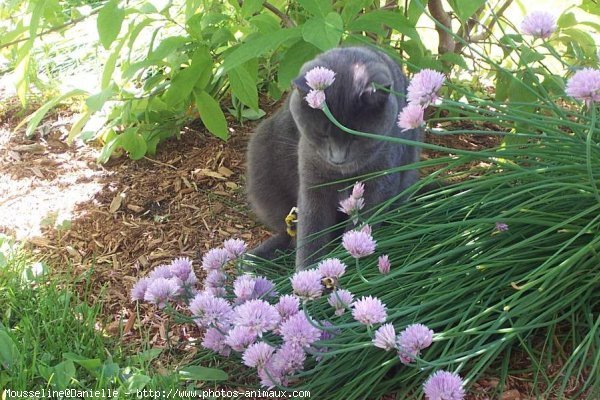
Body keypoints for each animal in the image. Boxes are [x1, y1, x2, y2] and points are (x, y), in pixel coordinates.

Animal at [246, 47, 420, 272]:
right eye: (323, 134)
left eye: (356, 137)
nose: (338, 158)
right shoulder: (313, 179)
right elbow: (311, 231)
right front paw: (307, 273)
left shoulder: (380, 181)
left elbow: (362, 224)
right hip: (263, 155)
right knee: (289, 233)